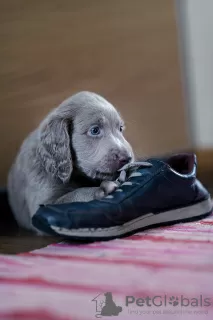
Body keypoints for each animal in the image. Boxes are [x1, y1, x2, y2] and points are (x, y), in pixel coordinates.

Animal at [8, 91, 135, 234]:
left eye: (120, 128)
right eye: (95, 130)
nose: (128, 158)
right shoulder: (41, 204)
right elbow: (70, 197)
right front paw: (101, 189)